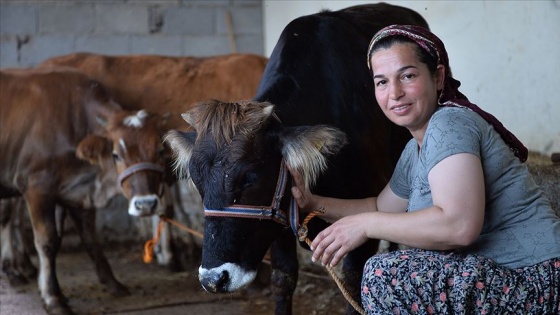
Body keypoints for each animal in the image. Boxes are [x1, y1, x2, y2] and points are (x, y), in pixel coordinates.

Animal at [0, 67, 168, 315]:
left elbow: (89, 239)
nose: (146, 204)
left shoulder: (77, 193)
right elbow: (47, 242)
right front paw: (53, 297)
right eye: (116, 154)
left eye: (159, 150)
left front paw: (112, 283)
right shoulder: (36, 187)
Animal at [165, 3, 428, 315]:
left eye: (250, 179)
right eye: (197, 181)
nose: (214, 279)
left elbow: (353, 284)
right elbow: (283, 278)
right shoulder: (279, 217)